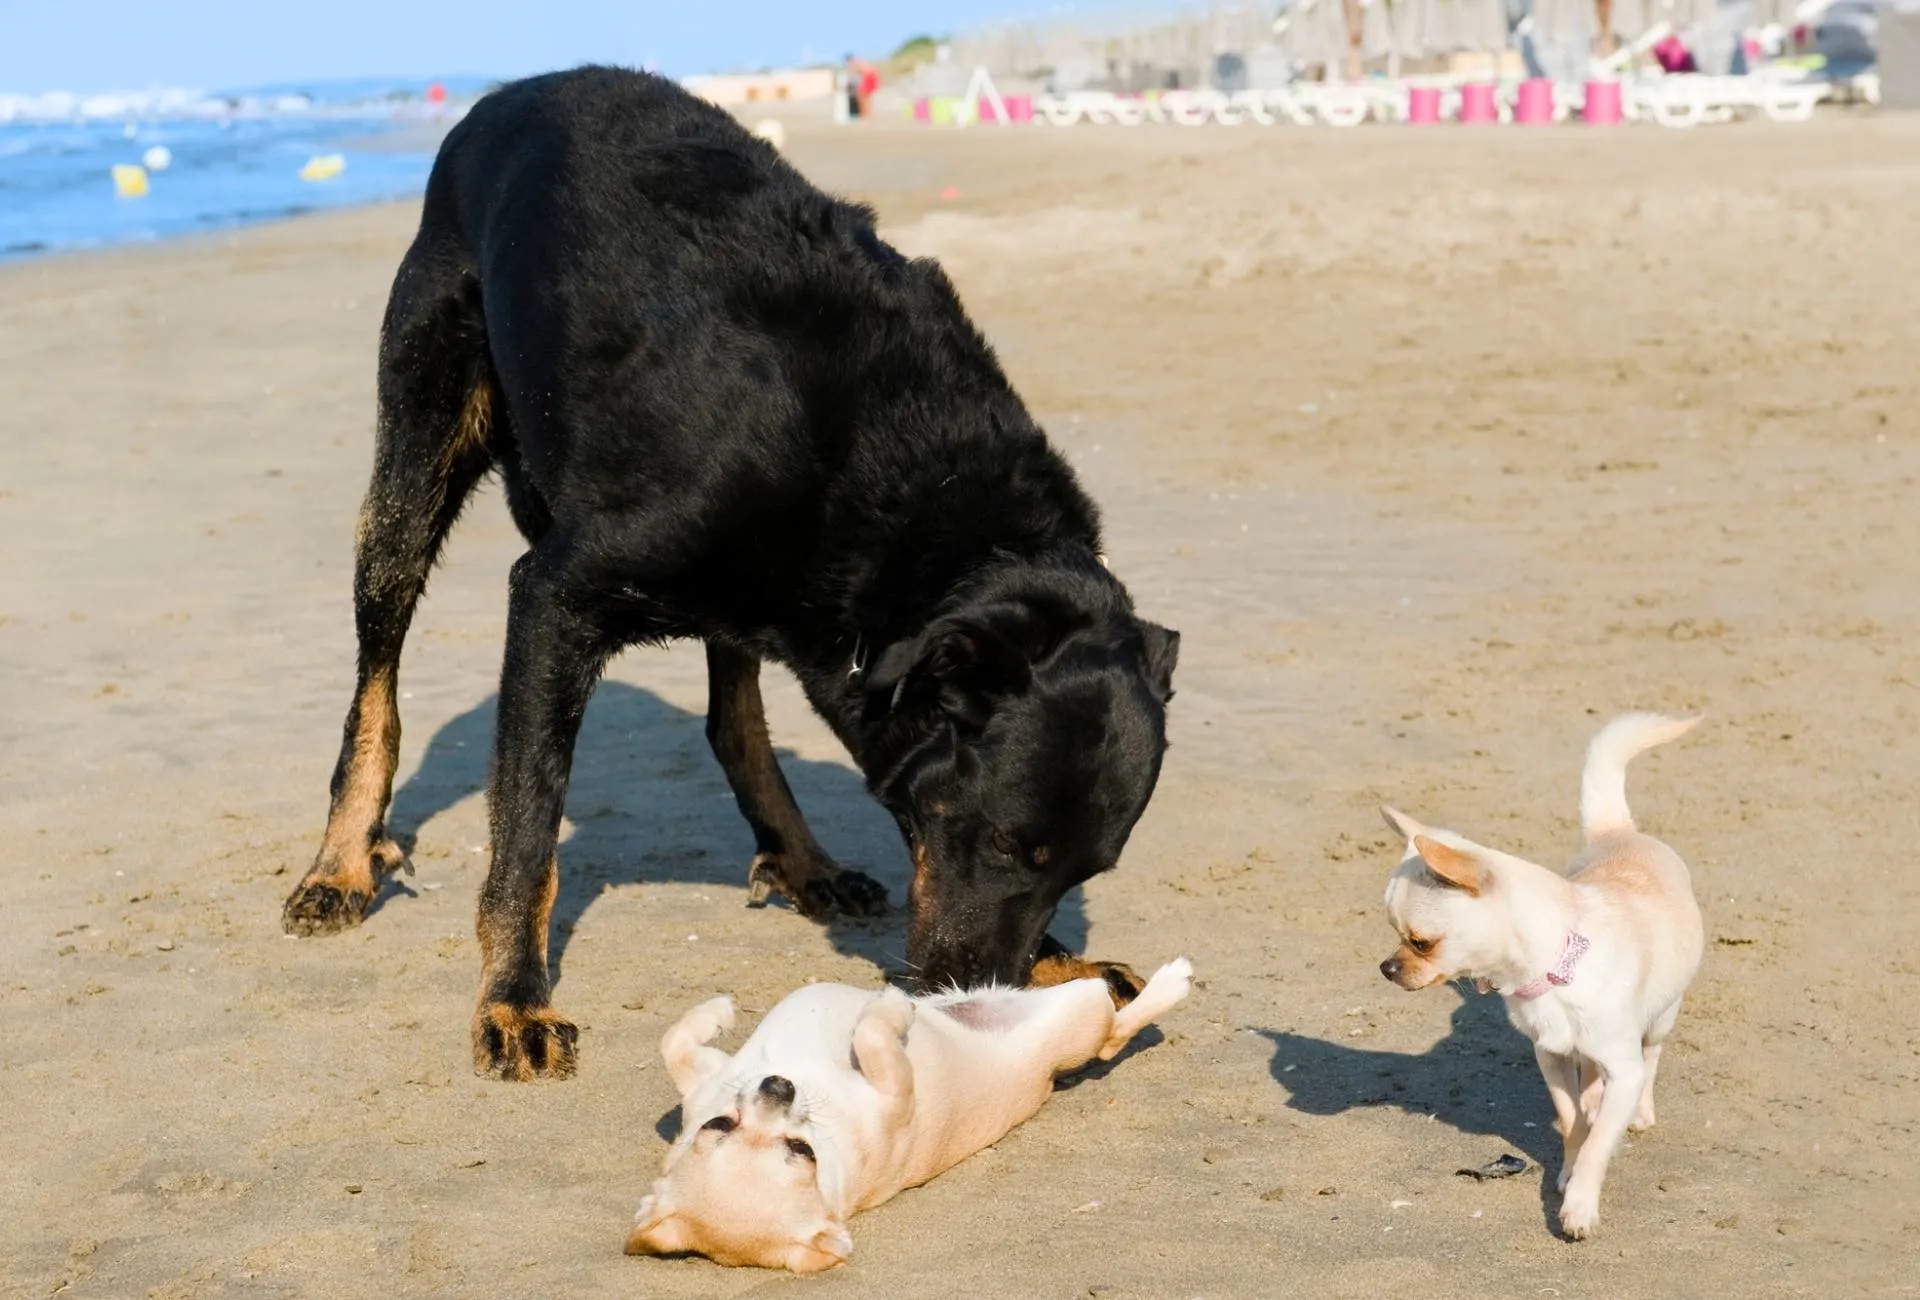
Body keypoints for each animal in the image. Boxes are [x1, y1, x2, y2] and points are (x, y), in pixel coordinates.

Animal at [282, 68, 1175, 1075]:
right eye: (1003, 842)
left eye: (1081, 868)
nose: (977, 1000)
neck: (918, 503)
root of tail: (508, 93)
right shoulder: (553, 599)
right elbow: (527, 830)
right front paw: (513, 997)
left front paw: (1064, 959)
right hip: (414, 459)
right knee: (378, 681)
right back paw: (341, 863)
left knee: (732, 718)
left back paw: (806, 862)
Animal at [622, 952, 1190, 1267]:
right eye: (803, 1153)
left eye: (719, 1124)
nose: (778, 1086)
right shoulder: (895, 1091)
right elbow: (876, 1037)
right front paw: (890, 1008)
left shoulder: (707, 1078)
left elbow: (674, 1042)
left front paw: (716, 1012)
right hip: (1077, 1016)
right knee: (1112, 1034)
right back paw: (1171, 981)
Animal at [1374, 710, 1704, 1236]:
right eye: (1394, 935)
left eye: (1420, 941)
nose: (1386, 968)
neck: (1553, 968)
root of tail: (1617, 831)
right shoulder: (1549, 1054)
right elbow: (1572, 1124)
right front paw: (1568, 1169)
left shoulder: (1624, 1068)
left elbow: (1598, 1144)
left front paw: (1580, 1205)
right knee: (1589, 1076)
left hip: (1661, 1017)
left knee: (1651, 1057)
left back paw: (1641, 1111)